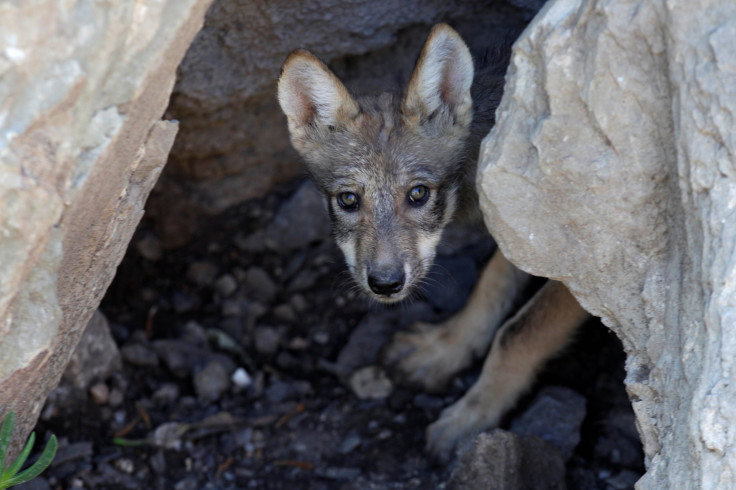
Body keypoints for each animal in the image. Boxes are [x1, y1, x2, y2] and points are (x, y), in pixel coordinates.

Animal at [278, 23, 588, 464]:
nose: (385, 283)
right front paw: (444, 349)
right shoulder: (524, 234)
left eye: (418, 194)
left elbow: (517, 332)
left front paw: (472, 417)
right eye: (348, 200)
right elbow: (489, 287)